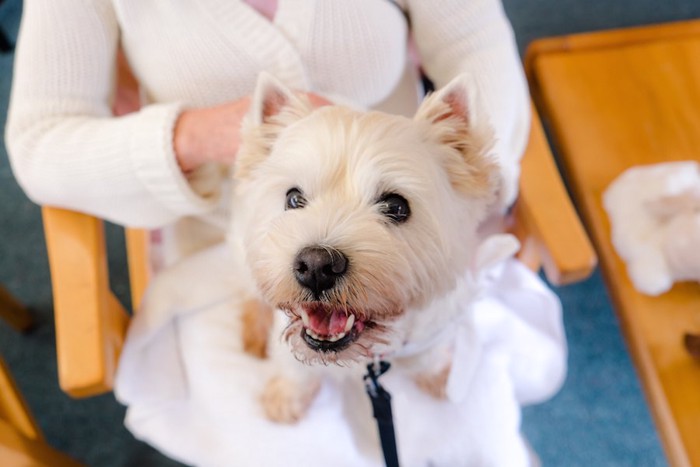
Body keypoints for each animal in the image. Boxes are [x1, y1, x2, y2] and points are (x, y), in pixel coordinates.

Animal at [230, 72, 508, 424]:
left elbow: (429, 358)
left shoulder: (431, 334)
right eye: (293, 198)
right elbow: (294, 368)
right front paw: (285, 398)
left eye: (397, 206)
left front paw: (440, 378)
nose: (317, 265)